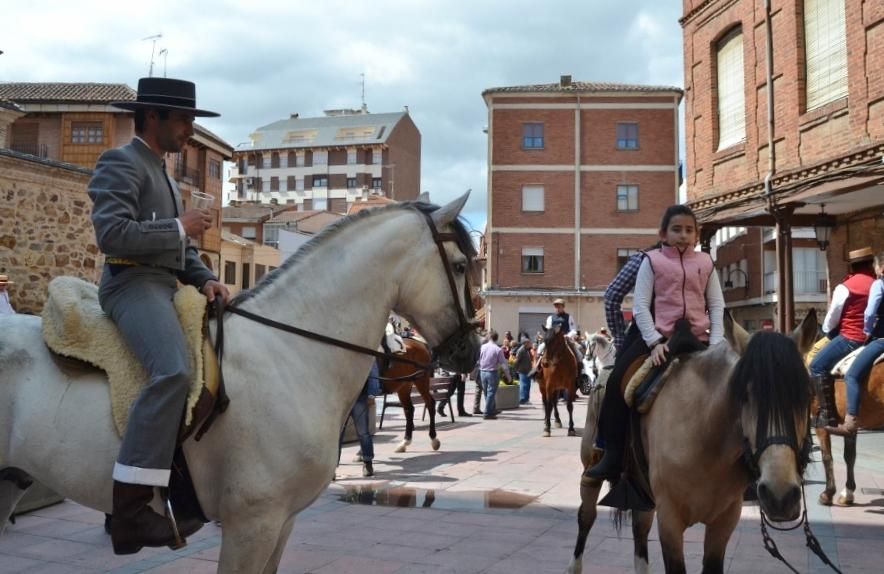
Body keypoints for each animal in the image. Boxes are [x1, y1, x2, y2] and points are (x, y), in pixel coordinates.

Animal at [568, 316, 820, 574]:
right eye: (744, 396)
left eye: (808, 395)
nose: (780, 497)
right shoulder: (669, 520)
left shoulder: (725, 519)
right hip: (591, 469)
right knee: (586, 516)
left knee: (640, 528)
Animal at [808, 340, 884, 506]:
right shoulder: (849, 425)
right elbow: (850, 456)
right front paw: (847, 493)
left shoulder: (820, 423)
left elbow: (827, 456)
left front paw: (827, 493)